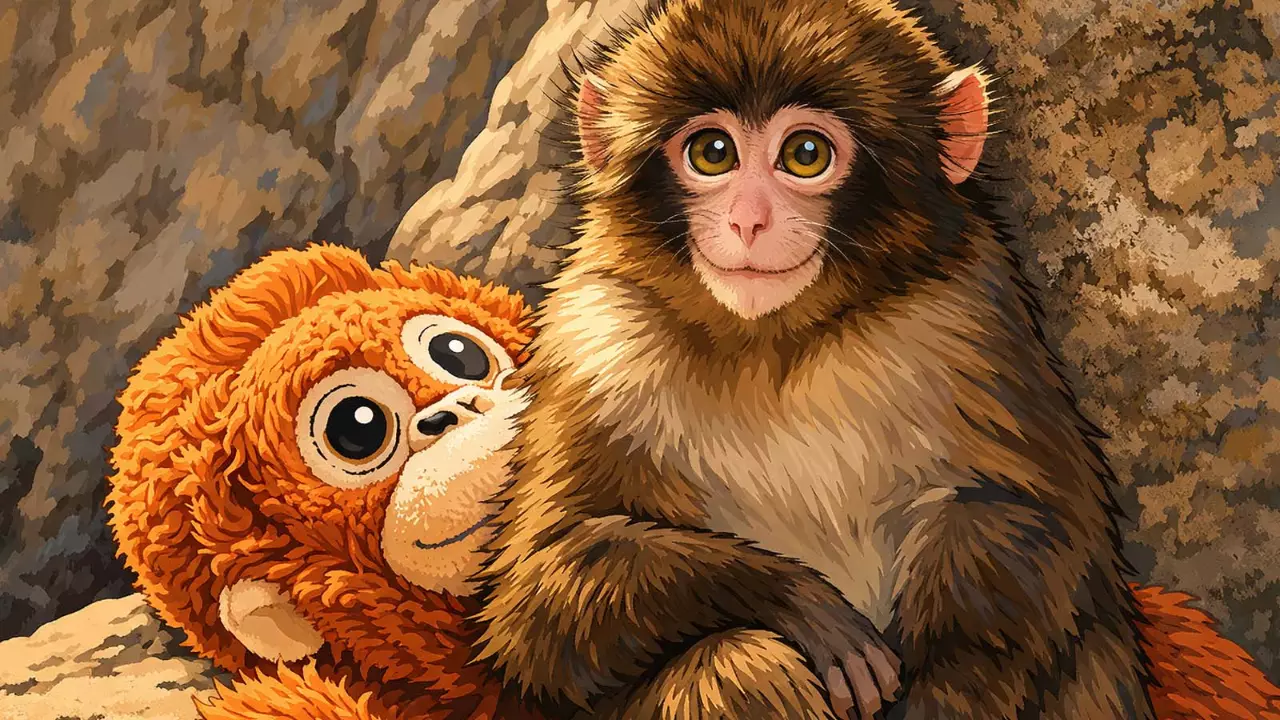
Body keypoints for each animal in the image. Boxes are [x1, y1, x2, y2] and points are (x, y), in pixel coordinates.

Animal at [471, 0, 1159, 718]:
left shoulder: (975, 319)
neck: (775, 349)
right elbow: (539, 596)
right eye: (712, 153)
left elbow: (1033, 534)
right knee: (736, 664)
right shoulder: (594, 339)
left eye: (806, 155)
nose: (749, 221)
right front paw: (804, 604)